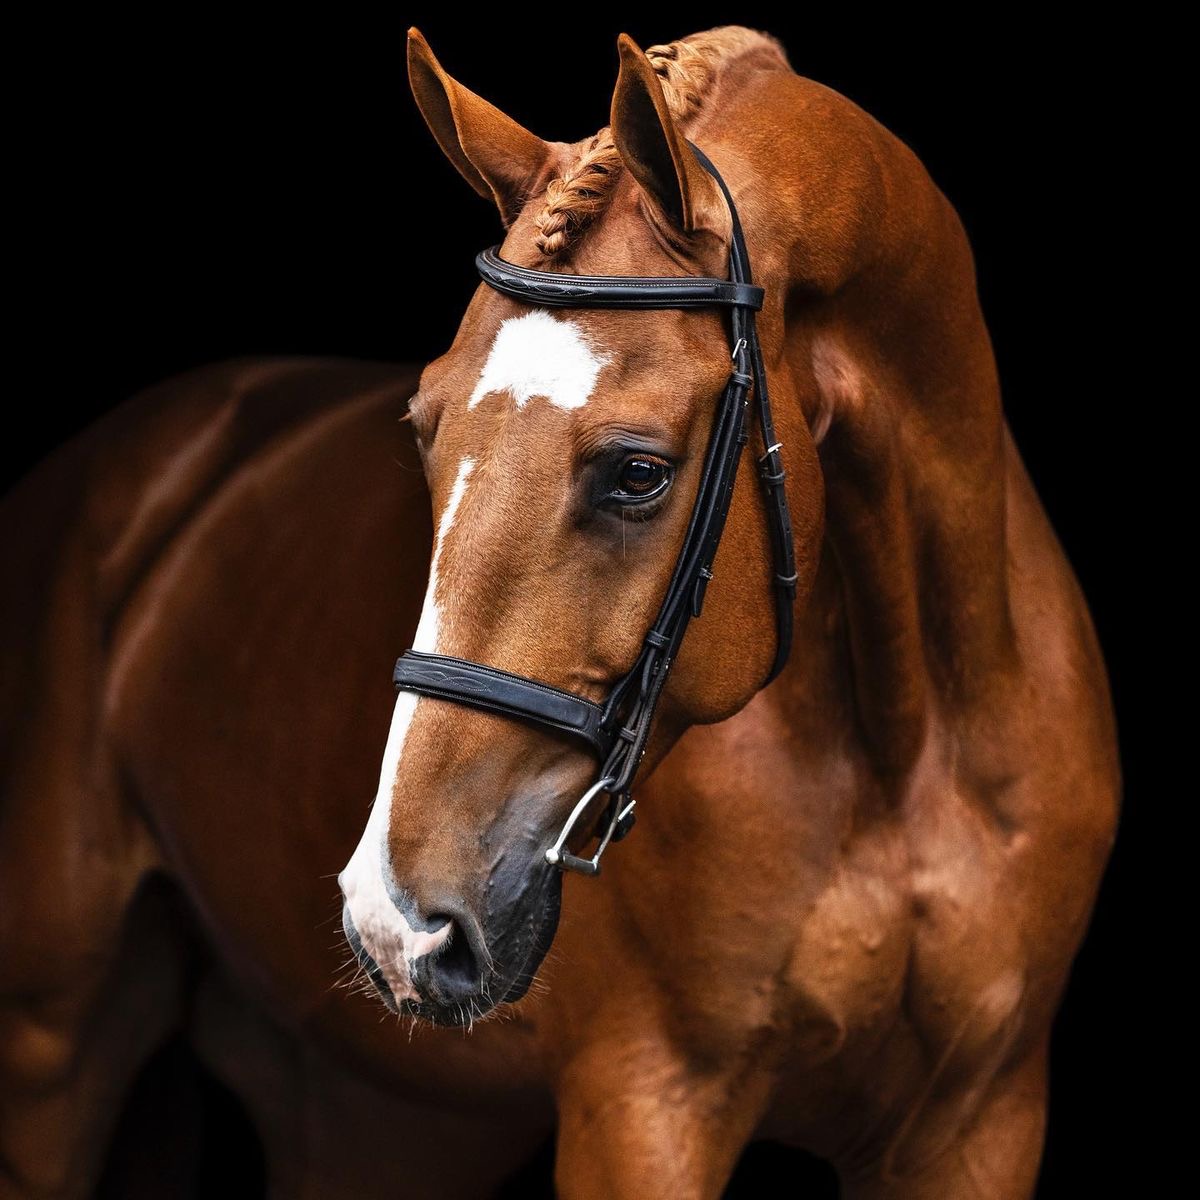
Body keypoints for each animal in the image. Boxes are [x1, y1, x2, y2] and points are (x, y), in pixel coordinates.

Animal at [0, 24, 1119, 1200]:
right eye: (424, 428)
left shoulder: (980, 1123)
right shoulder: (642, 1106)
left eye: (638, 472)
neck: (903, 748)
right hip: (51, 1038)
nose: (399, 921)